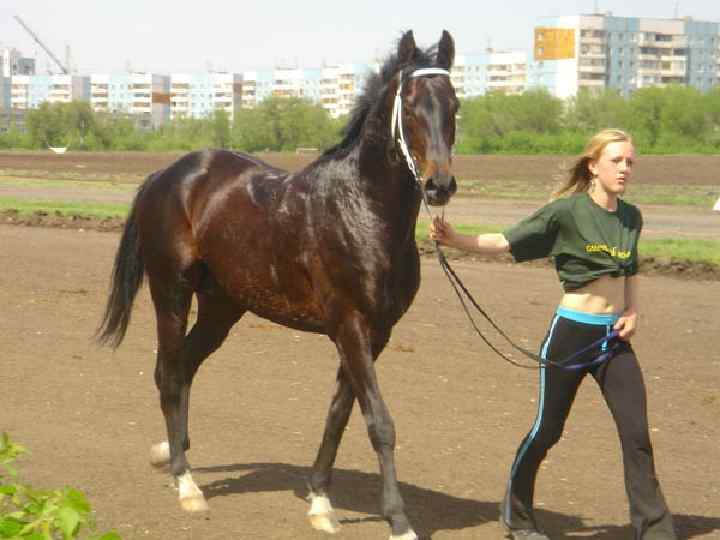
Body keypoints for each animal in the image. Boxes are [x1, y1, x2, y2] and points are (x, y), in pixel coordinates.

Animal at [98, 30, 458, 540]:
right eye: (409, 104)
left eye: (454, 104)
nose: (439, 185)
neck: (362, 210)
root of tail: (165, 176)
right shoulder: (350, 325)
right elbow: (379, 422)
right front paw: (399, 520)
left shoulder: (376, 333)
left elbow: (339, 414)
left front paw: (321, 502)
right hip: (171, 293)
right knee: (168, 373)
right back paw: (187, 484)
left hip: (221, 307)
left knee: (184, 367)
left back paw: (173, 452)